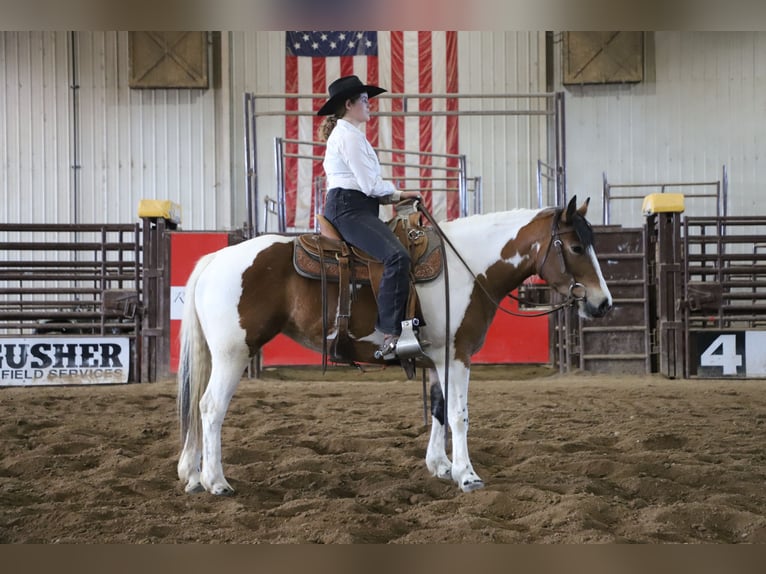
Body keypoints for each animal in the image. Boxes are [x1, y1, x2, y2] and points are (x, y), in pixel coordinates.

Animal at [176, 195, 613, 495]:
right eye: (576, 247)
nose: (603, 303)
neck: (467, 267)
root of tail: (216, 259)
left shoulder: (438, 357)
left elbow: (438, 409)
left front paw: (440, 466)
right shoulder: (457, 355)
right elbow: (459, 415)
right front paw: (467, 476)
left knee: (198, 407)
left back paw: (193, 475)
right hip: (233, 353)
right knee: (210, 408)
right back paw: (217, 482)